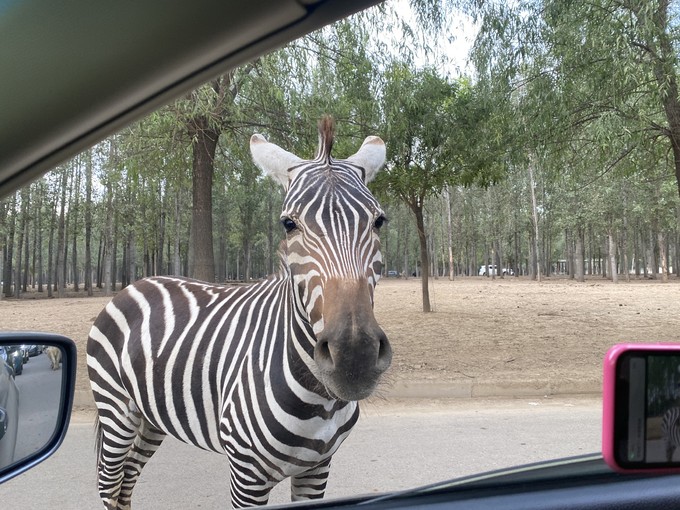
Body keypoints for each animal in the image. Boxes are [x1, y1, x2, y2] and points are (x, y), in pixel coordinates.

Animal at [85, 116, 394, 510]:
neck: (320, 400)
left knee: (126, 482)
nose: (354, 356)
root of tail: (134, 284)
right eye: (288, 224)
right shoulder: (246, 475)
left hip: (152, 415)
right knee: (109, 484)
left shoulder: (318, 468)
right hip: (116, 408)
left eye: (379, 221)